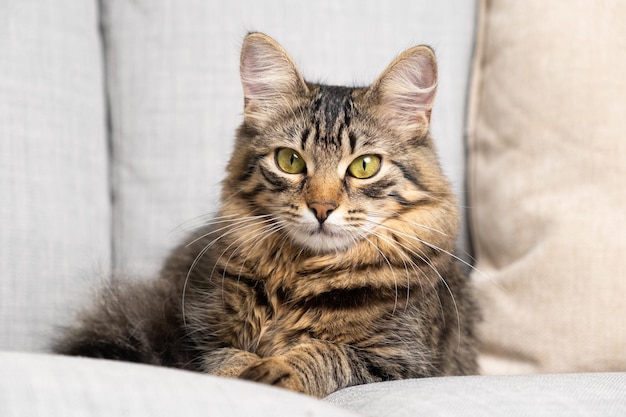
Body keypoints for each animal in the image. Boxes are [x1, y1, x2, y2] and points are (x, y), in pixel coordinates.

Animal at [57, 31, 478, 396]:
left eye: (364, 166)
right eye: (290, 161)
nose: (321, 208)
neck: (296, 277)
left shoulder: (401, 363)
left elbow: (327, 354)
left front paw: (279, 371)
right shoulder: (195, 335)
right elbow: (224, 358)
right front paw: (247, 371)